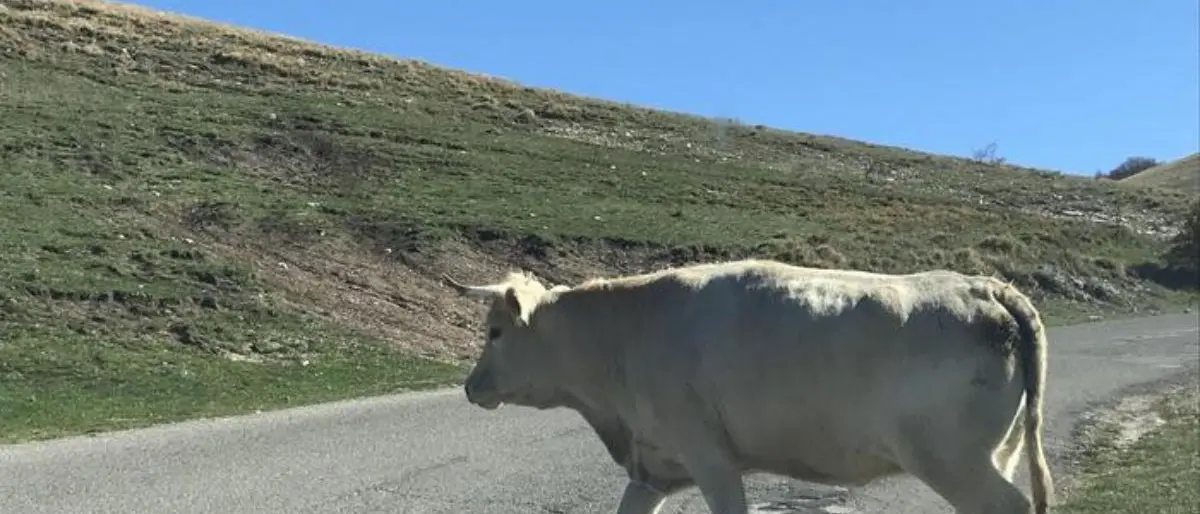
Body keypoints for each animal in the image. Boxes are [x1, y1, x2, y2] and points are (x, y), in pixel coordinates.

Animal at [444, 258, 1054, 514]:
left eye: (495, 332)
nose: (471, 387)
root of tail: (986, 287)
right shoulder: (654, 468)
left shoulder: (710, 457)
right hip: (994, 452)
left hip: (951, 459)